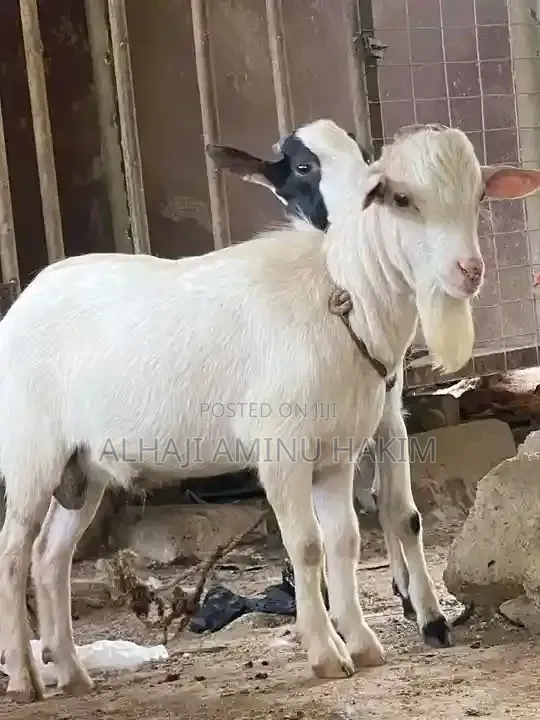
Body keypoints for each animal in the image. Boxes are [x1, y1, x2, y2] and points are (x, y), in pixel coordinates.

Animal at [1, 119, 539, 703]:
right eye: (400, 198)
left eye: (479, 195)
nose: (469, 271)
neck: (343, 294)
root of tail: (24, 299)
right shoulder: (282, 450)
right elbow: (306, 547)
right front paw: (327, 654)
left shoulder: (336, 456)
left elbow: (345, 542)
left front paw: (363, 644)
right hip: (30, 453)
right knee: (13, 552)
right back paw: (25, 676)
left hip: (83, 468)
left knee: (49, 558)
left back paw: (71, 672)